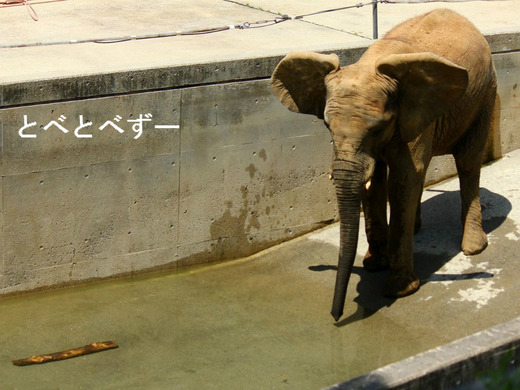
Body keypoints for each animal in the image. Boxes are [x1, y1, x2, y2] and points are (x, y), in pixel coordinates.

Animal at [270, 9, 498, 322]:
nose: (336, 316)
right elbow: (373, 181)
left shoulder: (410, 112)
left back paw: (473, 247)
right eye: (327, 126)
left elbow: (402, 180)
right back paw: (416, 229)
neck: (371, 65)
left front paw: (398, 290)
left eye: (378, 129)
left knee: (467, 161)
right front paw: (374, 265)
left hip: (485, 92)